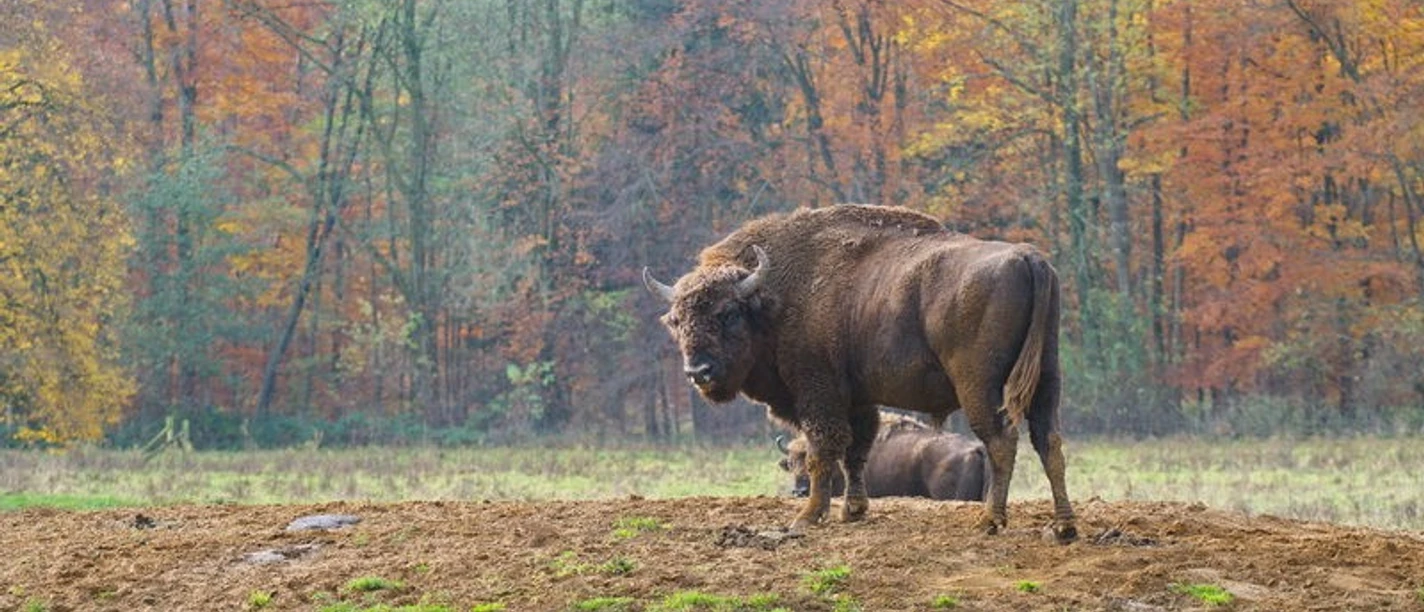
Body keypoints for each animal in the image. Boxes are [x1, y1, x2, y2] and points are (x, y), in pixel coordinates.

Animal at [643, 204, 1076, 540]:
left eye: (728, 313)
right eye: (676, 320)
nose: (698, 371)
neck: (775, 298)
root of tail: (1028, 258)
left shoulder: (818, 393)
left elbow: (823, 451)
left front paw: (807, 517)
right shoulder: (858, 398)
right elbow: (856, 450)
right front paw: (852, 511)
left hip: (979, 385)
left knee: (1002, 440)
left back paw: (989, 521)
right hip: (1047, 378)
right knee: (1049, 441)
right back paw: (1064, 527)